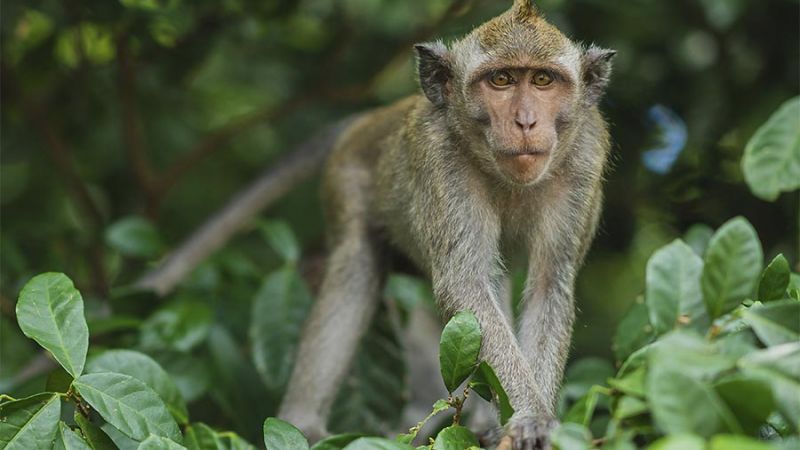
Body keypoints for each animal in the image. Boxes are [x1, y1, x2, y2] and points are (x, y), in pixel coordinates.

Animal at [278, 1, 616, 448]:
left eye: (543, 80)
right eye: (501, 80)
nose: (526, 121)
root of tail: (371, 120)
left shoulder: (585, 155)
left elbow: (548, 284)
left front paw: (532, 419)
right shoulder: (439, 158)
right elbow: (465, 284)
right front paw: (532, 416)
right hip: (345, 179)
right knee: (355, 268)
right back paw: (302, 423)